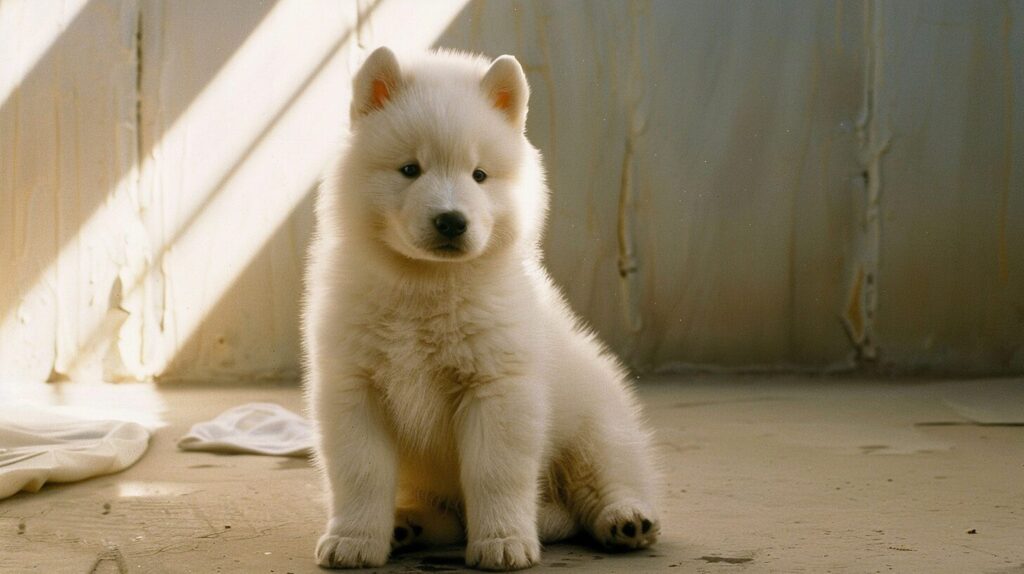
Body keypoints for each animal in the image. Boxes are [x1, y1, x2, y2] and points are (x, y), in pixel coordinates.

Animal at [299, 47, 659, 568]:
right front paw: (354, 540)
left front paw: (504, 542)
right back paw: (407, 524)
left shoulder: (497, 388)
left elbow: (494, 472)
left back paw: (625, 519)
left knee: (606, 478)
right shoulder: (354, 387)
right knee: (447, 516)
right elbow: (361, 471)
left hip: (595, 422)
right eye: (410, 169)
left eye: (480, 175)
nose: (451, 220)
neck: (426, 285)